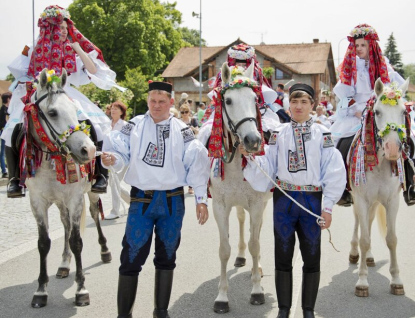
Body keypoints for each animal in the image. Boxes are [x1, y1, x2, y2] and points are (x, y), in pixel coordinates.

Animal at [25, 67, 111, 308]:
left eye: (74, 109)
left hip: (89, 194)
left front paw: (81, 290)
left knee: (94, 215)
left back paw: (105, 251)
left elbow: (76, 241)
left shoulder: (74, 199)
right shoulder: (37, 202)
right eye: (52, 112)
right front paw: (41, 290)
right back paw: (64, 264)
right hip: (60, 202)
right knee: (64, 225)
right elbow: (43, 243)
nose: (88, 150)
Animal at [210, 62, 274, 314]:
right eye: (228, 101)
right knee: (240, 221)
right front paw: (221, 297)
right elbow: (223, 249)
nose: (253, 141)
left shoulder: (256, 204)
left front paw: (256, 291)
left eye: (255, 99)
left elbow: (255, 244)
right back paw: (240, 256)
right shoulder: (220, 206)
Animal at [350, 78, 412, 296]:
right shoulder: (361, 199)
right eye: (377, 112)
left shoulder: (392, 201)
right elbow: (364, 239)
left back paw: (368, 257)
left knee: (368, 222)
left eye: (403, 112)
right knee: (360, 224)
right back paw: (355, 253)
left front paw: (396, 280)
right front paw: (362, 281)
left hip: (375, 202)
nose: (392, 148)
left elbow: (391, 239)